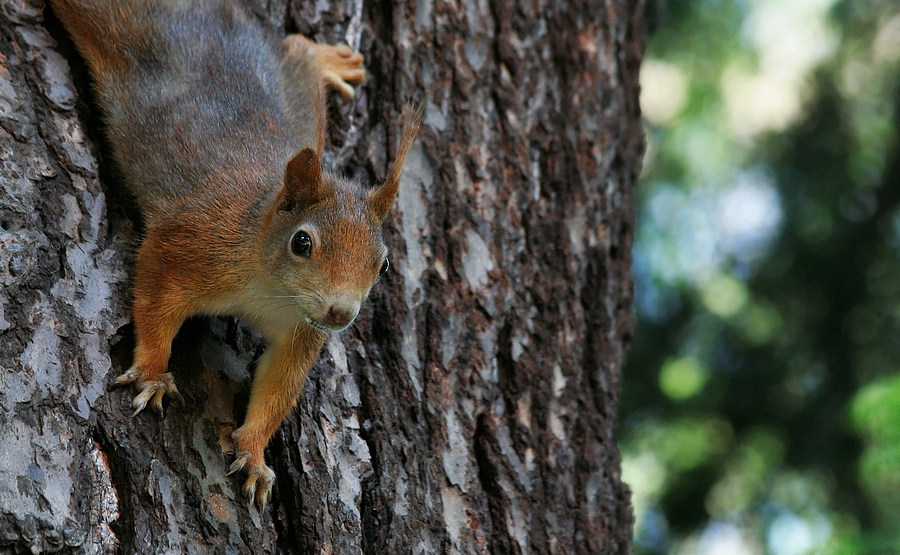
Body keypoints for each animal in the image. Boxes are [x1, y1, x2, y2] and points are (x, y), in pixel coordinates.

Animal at [51, 0, 422, 508]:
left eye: (382, 264)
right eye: (301, 242)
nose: (340, 313)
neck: (270, 286)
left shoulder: (300, 332)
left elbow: (278, 385)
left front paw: (254, 453)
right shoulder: (190, 244)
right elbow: (154, 299)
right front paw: (153, 372)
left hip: (297, 104)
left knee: (296, 53)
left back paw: (325, 60)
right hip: (111, 27)